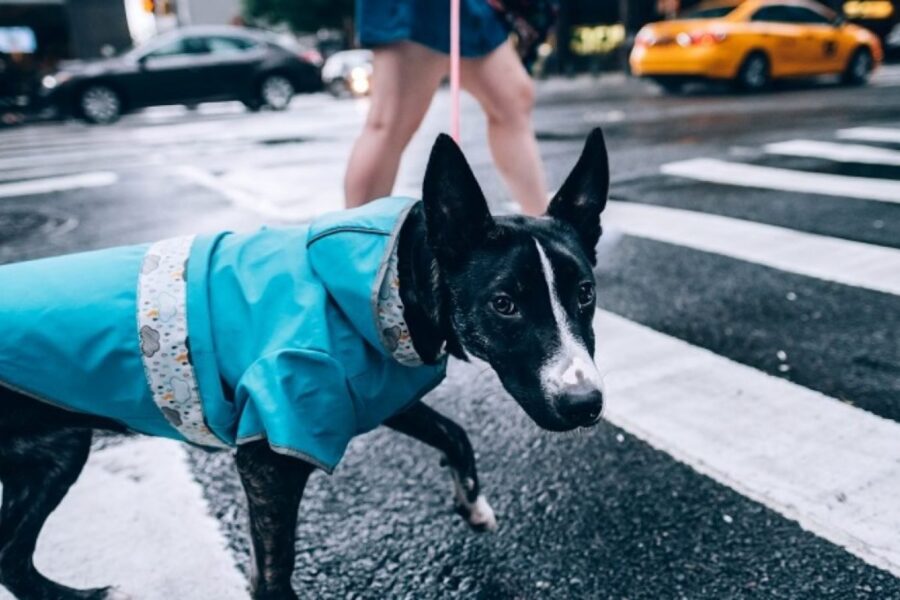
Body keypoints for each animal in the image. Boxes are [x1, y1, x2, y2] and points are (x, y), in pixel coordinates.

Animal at [0, 129, 612, 596]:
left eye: (585, 292)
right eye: (504, 303)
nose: (585, 404)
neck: (398, 275)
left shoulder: (373, 391)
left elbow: (453, 432)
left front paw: (471, 500)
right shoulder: (269, 457)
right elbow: (274, 574)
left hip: (54, 453)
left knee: (12, 558)